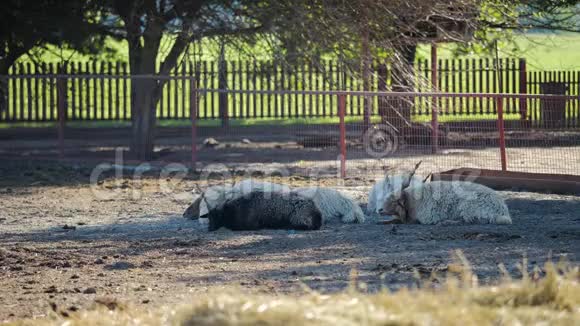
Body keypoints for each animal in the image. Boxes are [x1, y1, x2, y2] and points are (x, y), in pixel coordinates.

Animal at [380, 164, 512, 225]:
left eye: (393, 201)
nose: (379, 210)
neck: (412, 201)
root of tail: (503, 211)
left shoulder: (425, 217)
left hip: (468, 208)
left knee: (469, 220)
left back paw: (446, 222)